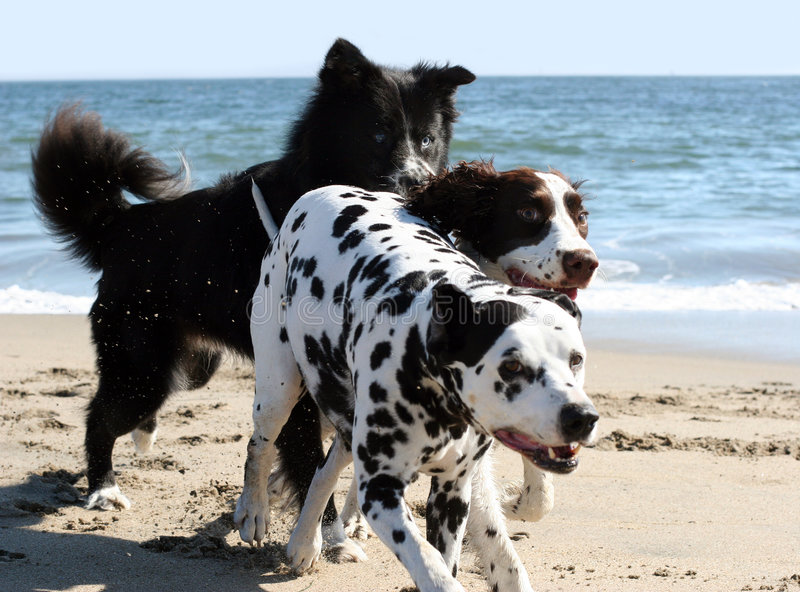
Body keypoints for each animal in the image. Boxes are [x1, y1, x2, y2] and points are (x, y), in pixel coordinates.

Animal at [32, 37, 476, 512]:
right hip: (142, 364)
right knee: (100, 416)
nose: (418, 184)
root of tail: (122, 223)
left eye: (427, 139)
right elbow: (310, 463)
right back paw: (103, 488)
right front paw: (322, 525)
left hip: (190, 364)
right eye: (378, 135)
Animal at [238, 179, 600, 592]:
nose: (580, 418)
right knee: (260, 445)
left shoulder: (453, 492)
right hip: (277, 389)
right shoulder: (381, 492)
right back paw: (253, 510)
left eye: (575, 359)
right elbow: (430, 564)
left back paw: (304, 540)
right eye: (511, 365)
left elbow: (448, 557)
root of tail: (316, 194)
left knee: (324, 470)